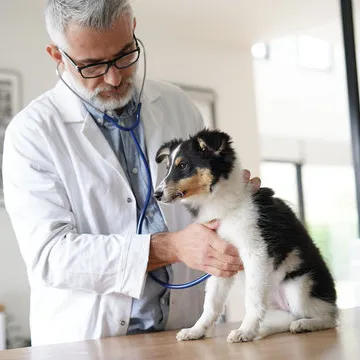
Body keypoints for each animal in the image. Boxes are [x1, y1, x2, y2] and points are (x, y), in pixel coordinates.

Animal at [154, 128, 338, 342]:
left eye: (183, 165)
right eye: (167, 168)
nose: (156, 194)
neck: (222, 202)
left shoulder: (255, 251)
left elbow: (252, 299)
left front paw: (245, 331)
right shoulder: (219, 258)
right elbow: (211, 302)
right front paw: (196, 330)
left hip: (299, 288)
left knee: (329, 317)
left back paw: (305, 324)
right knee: (286, 317)